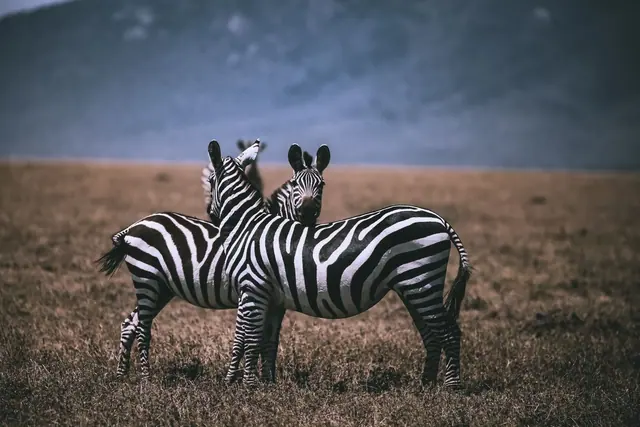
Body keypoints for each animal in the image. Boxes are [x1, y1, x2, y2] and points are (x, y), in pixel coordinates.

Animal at [96, 142, 331, 380]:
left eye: (321, 185)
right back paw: (146, 378)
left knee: (130, 323)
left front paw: (265, 378)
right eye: (295, 185)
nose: (308, 213)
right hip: (147, 278)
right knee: (143, 327)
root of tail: (132, 227)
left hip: (162, 287)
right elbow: (250, 338)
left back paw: (122, 374)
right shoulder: (253, 292)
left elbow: (268, 339)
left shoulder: (274, 299)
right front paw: (243, 377)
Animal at [206, 139, 472, 389]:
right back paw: (426, 383)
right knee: (432, 333)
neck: (246, 225)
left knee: (450, 332)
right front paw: (261, 382)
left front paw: (244, 385)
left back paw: (452, 387)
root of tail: (438, 218)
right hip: (414, 286)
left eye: (209, 180)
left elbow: (246, 338)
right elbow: (260, 339)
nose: (210, 214)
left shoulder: (252, 287)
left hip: (421, 280)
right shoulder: (270, 296)